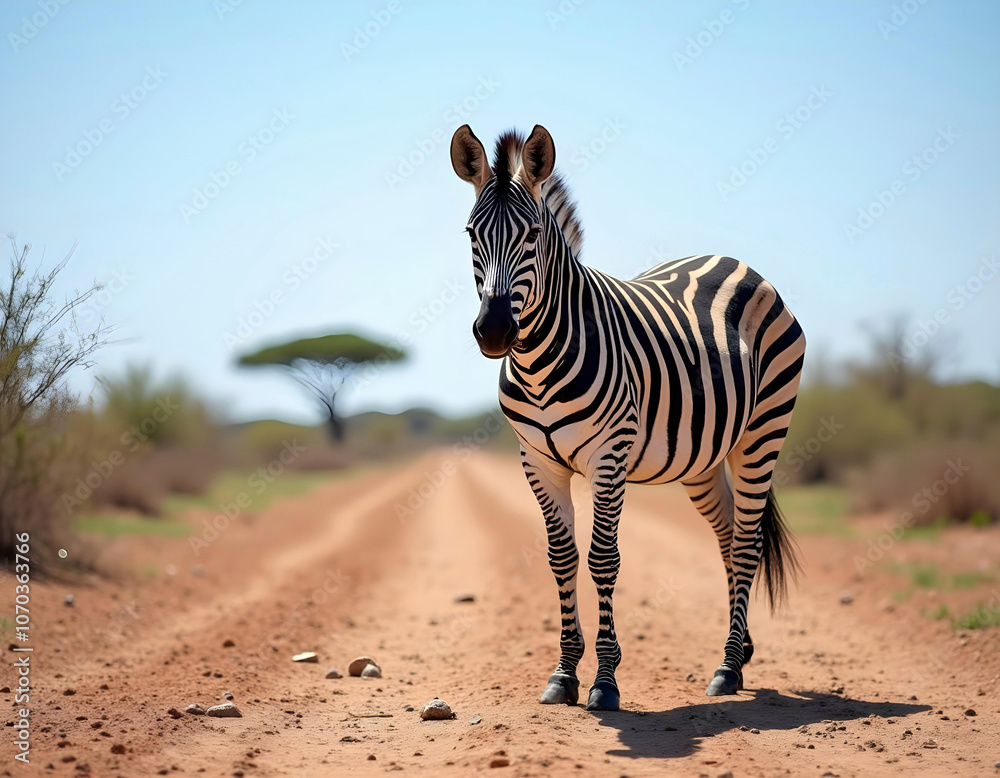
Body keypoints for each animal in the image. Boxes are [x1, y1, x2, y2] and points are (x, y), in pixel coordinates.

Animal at [450, 124, 805, 711]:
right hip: (703, 458)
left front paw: (605, 680)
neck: (539, 360)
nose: (495, 331)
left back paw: (728, 667)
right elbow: (562, 557)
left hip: (762, 433)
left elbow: (602, 559)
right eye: (471, 235)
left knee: (748, 541)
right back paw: (742, 651)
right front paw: (564, 673)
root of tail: (733, 261)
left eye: (532, 236)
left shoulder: (608, 456)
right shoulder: (537, 461)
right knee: (729, 536)